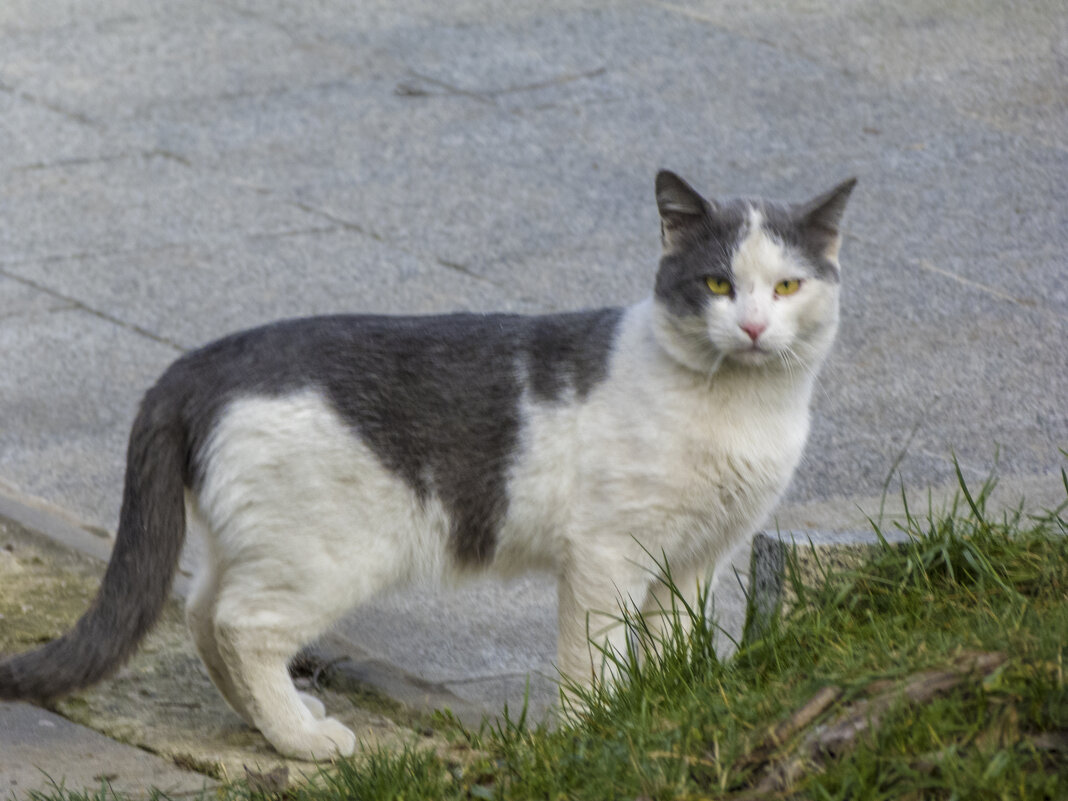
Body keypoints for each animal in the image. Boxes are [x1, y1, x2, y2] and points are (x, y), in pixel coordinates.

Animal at [0, 169, 850, 760]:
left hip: (258, 541)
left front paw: (669, 706)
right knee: (242, 625)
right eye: (716, 282)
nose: (752, 326)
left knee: (202, 612)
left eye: (787, 285)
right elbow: (597, 660)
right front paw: (603, 728)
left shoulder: (697, 559)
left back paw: (282, 723)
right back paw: (305, 742)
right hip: (326, 553)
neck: (744, 410)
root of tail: (197, 364)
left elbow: (676, 647)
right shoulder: (608, 555)